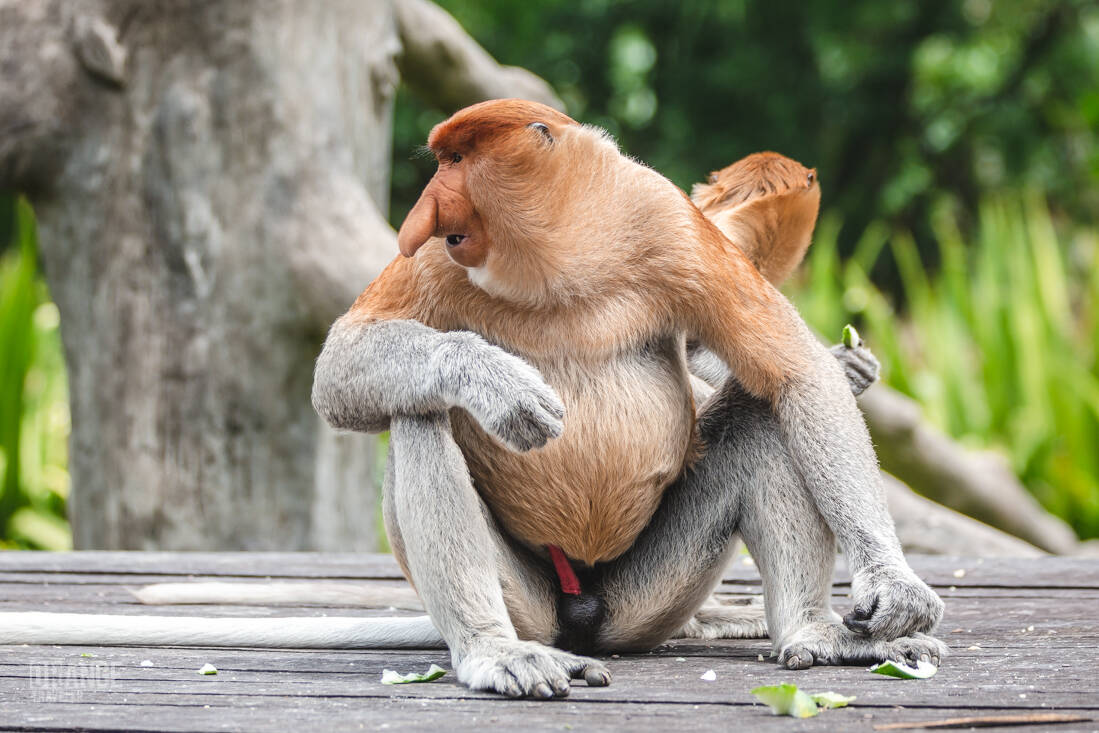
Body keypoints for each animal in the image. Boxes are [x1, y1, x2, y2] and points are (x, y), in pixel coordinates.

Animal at [0, 102, 942, 699]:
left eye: (458, 160)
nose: (426, 203)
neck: (559, 256)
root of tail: (577, 613)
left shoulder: (671, 228)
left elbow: (791, 378)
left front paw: (892, 588)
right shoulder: (431, 256)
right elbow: (343, 363)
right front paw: (497, 384)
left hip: (647, 593)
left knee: (759, 416)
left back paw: (812, 633)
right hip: (528, 594)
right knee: (417, 414)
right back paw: (497, 654)